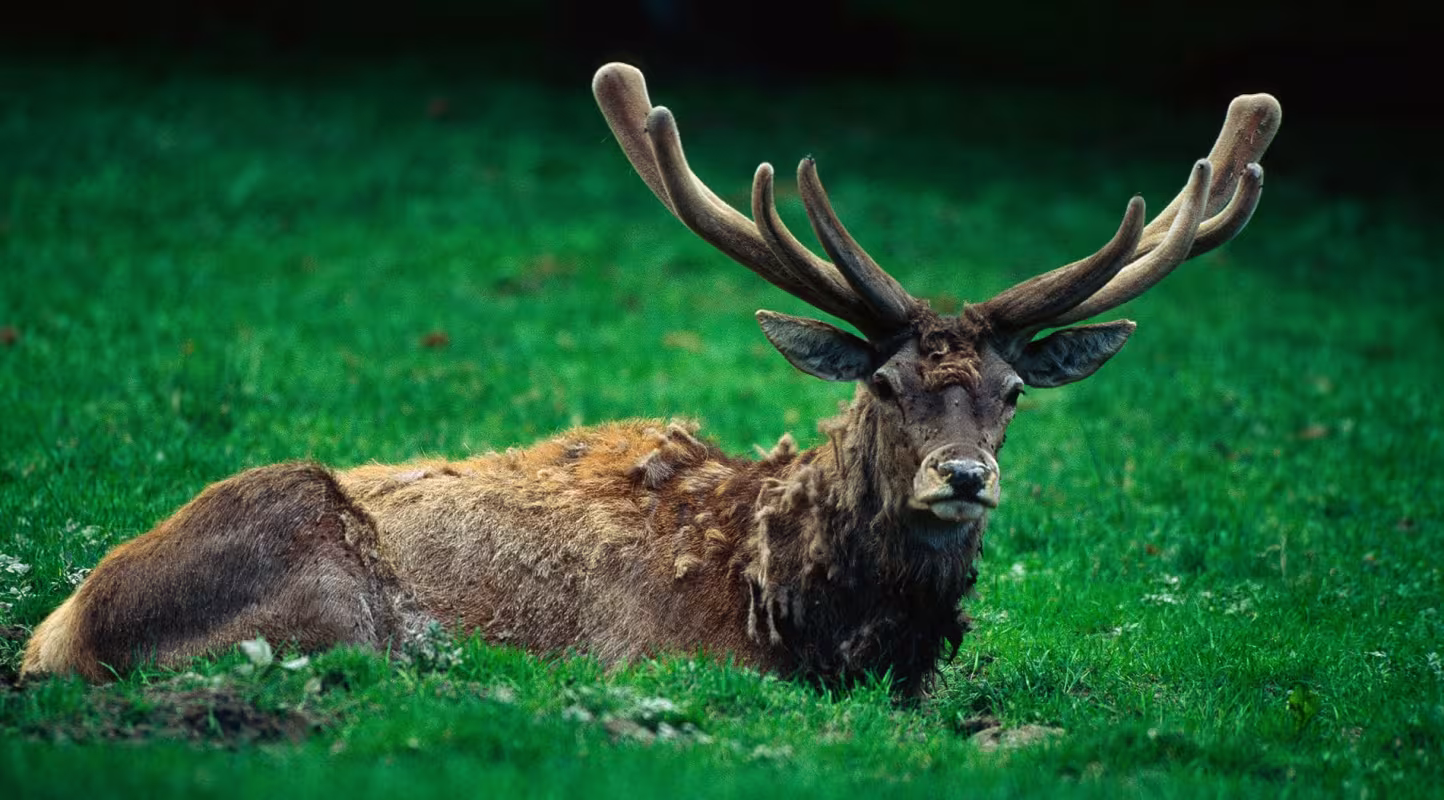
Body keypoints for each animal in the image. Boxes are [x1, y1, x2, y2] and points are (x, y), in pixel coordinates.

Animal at [21, 64, 1280, 695]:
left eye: (1014, 394)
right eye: (881, 384)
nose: (962, 476)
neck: (818, 620)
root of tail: (57, 629)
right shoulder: (662, 653)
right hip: (307, 549)